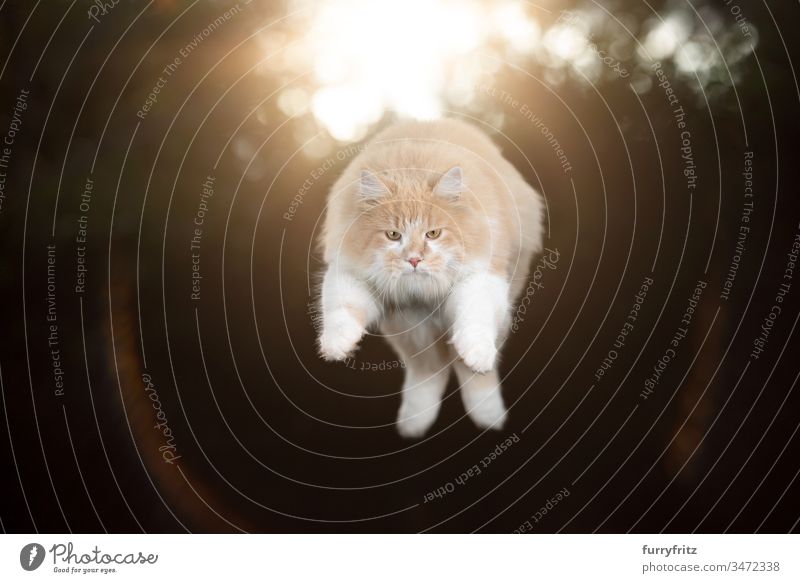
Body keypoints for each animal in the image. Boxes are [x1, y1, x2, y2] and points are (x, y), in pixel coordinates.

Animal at [318, 118, 544, 438]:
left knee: (466, 371)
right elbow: (341, 312)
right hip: (411, 329)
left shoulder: (480, 277)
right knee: (428, 371)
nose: (414, 260)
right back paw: (414, 423)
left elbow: (474, 321)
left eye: (433, 233)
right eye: (393, 235)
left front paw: (476, 355)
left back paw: (488, 417)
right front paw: (337, 346)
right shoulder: (350, 275)